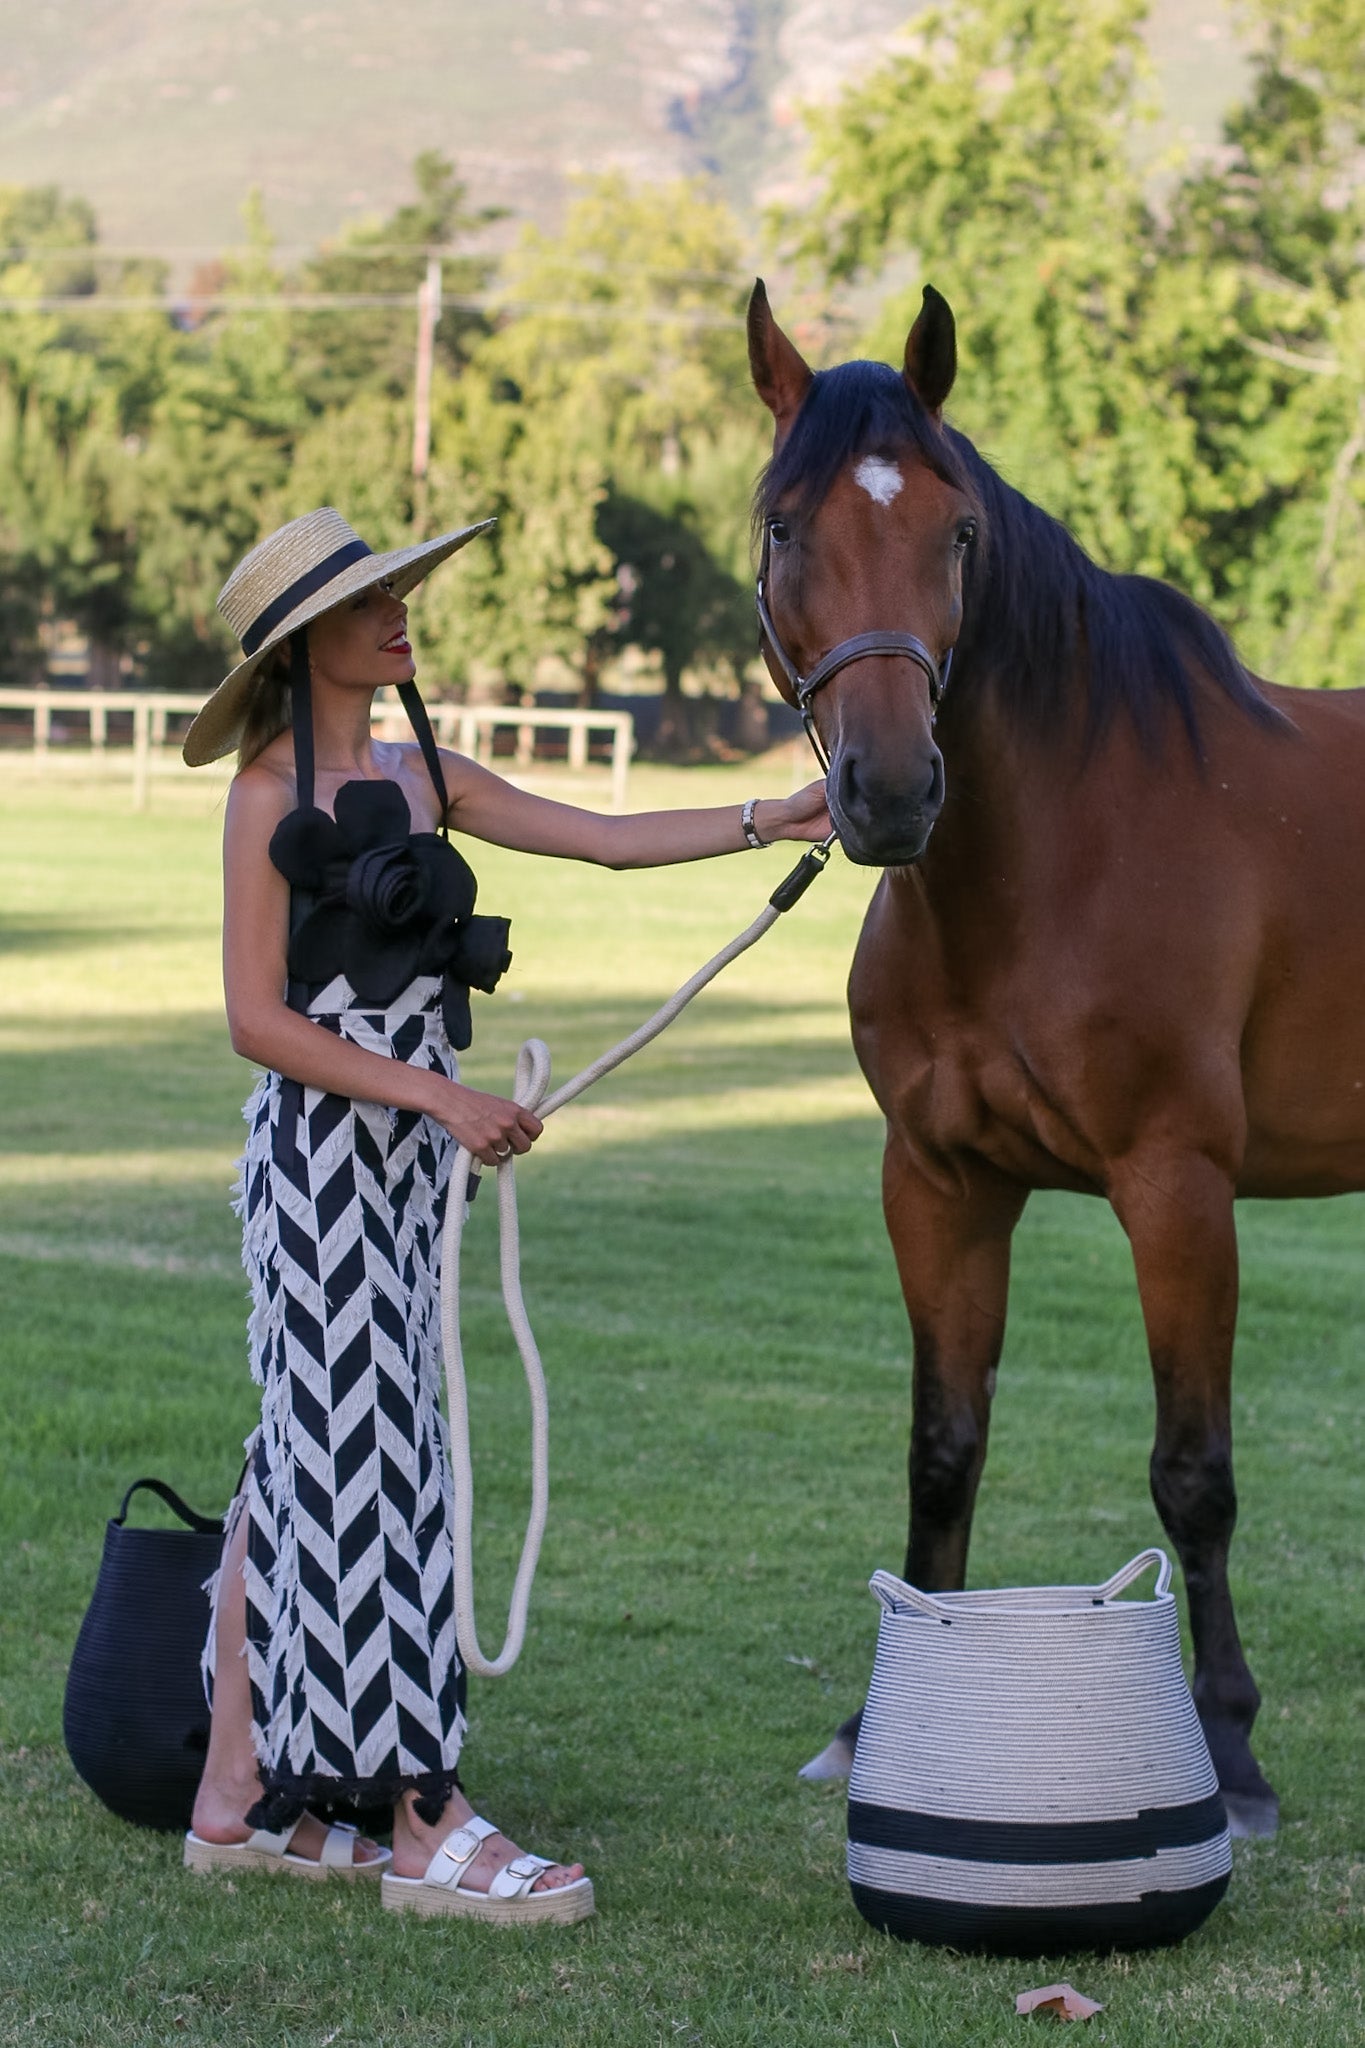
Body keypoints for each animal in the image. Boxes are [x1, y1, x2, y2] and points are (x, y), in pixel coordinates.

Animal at [749, 276, 1365, 1843]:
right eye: (784, 526)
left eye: (957, 532)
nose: (890, 790)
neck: (1051, 860)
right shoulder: (941, 1185)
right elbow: (942, 1445)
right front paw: (876, 1719)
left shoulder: (1177, 1189)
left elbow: (1192, 1476)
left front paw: (1233, 1749)